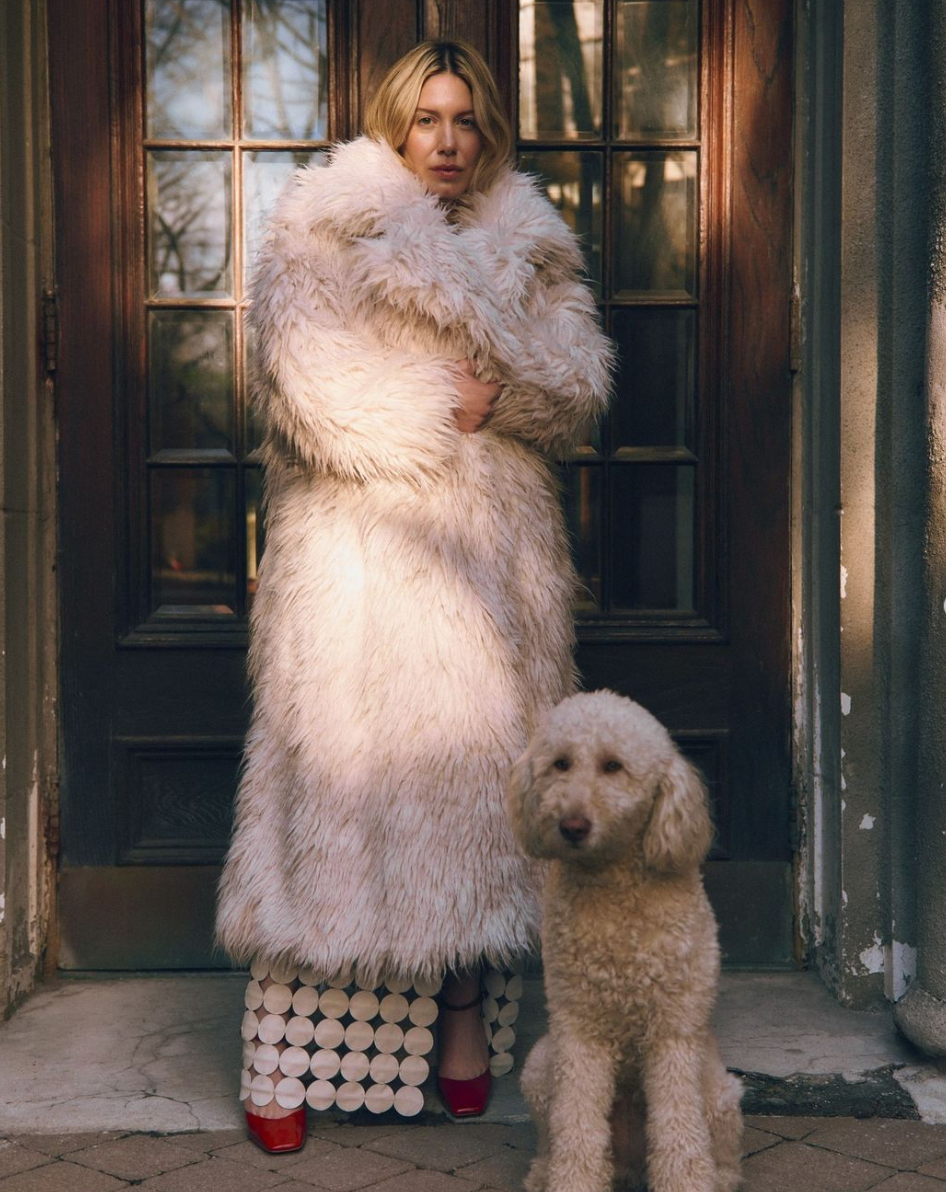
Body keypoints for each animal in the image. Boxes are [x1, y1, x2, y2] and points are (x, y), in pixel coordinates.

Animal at [512, 691, 738, 1192]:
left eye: (613, 766)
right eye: (560, 763)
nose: (572, 825)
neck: (615, 892)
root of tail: (632, 1164)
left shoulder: (673, 1032)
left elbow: (679, 1127)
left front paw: (686, 1182)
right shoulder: (579, 1031)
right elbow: (576, 1123)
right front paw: (571, 1181)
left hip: (721, 1089)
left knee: (718, 1142)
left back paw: (720, 1175)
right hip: (539, 1067)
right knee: (551, 1134)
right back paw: (541, 1172)